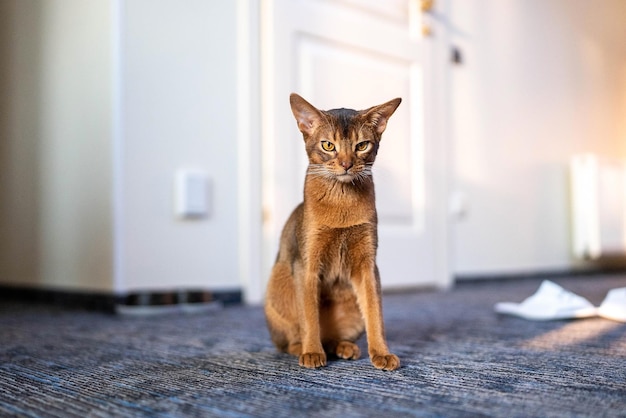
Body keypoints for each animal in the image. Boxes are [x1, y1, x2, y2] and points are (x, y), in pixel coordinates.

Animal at [262, 94, 400, 370]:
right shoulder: (306, 264)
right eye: (328, 145)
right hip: (278, 287)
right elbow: (309, 316)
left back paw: (344, 347)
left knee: (334, 337)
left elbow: (375, 313)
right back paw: (306, 348)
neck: (342, 202)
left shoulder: (368, 264)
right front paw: (312, 352)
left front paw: (381, 352)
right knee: (287, 342)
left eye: (361, 145)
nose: (347, 164)